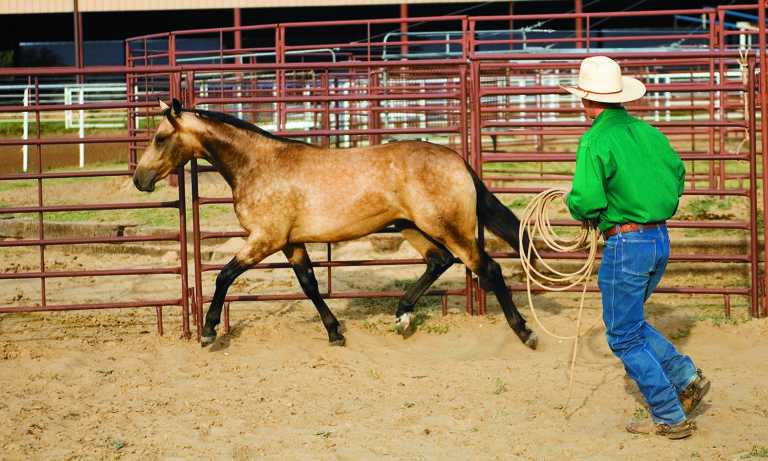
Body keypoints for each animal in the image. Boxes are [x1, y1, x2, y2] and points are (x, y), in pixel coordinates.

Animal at [133, 98, 538, 350]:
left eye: (160, 138)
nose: (139, 179)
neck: (258, 164)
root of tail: (457, 160)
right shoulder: (290, 242)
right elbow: (310, 285)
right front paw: (335, 333)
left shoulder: (265, 238)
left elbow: (224, 276)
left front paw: (207, 331)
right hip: (411, 226)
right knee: (439, 261)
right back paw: (402, 315)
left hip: (449, 229)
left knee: (488, 268)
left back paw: (525, 332)